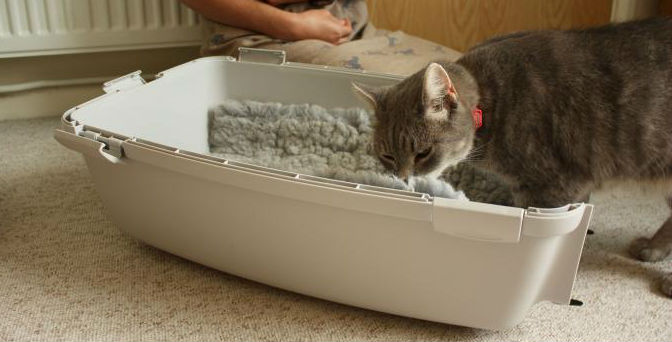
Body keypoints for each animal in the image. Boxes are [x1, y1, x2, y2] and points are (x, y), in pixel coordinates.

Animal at [352, 17, 672, 296]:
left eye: (423, 153)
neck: (489, 102)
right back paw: (653, 248)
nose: (403, 179)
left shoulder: (553, 187)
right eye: (388, 156)